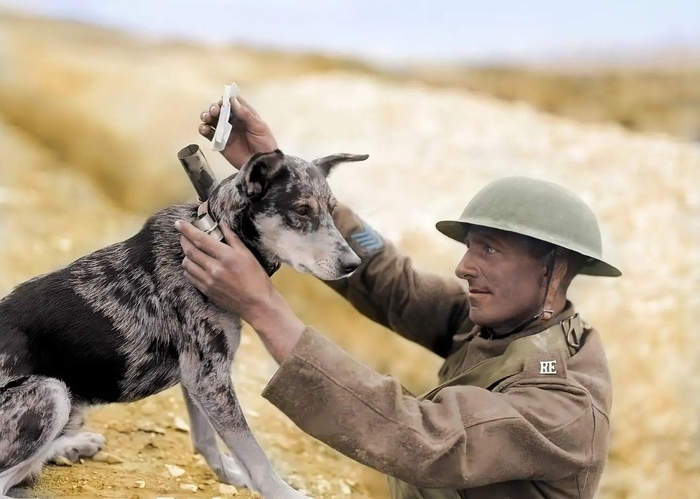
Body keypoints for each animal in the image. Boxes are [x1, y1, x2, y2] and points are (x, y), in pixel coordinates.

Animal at [0, 150, 370, 499]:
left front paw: (230, 474)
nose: (354, 264)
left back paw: (73, 445)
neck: (218, 235)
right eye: (303, 210)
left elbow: (208, 440)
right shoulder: (207, 377)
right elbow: (255, 456)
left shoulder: (199, 378)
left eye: (332, 211)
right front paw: (282, 492)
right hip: (52, 393)